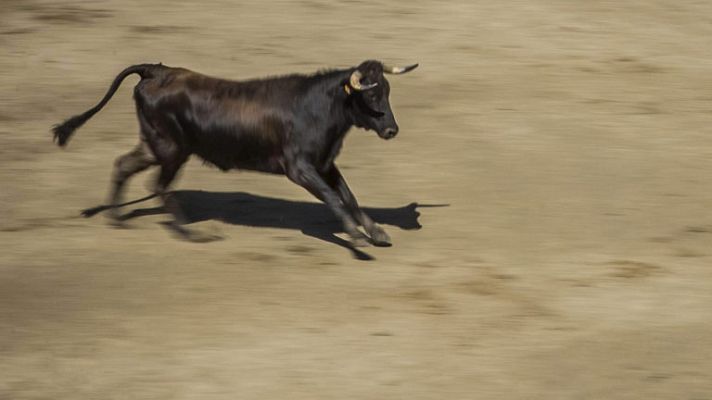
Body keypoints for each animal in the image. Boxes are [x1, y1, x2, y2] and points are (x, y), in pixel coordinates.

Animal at [52, 60, 418, 246]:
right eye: (371, 96)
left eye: (386, 91)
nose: (392, 130)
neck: (319, 108)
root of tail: (156, 70)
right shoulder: (299, 168)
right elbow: (333, 197)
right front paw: (356, 235)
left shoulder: (325, 163)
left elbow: (348, 195)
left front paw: (376, 232)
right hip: (173, 149)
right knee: (158, 185)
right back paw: (192, 233)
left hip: (155, 144)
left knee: (124, 165)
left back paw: (117, 218)